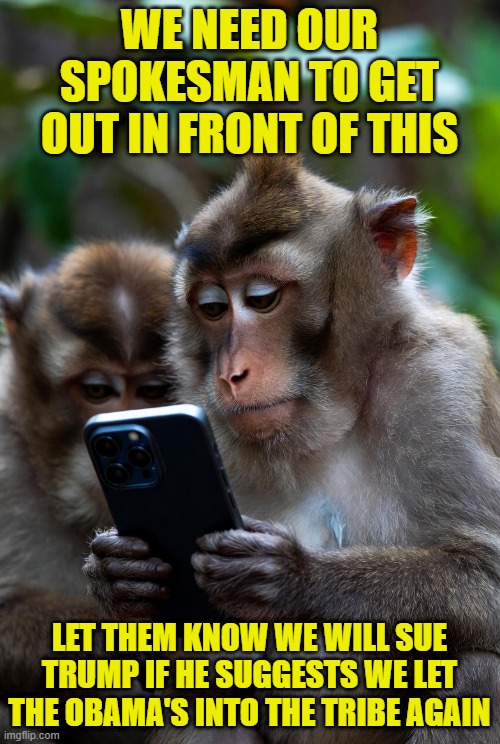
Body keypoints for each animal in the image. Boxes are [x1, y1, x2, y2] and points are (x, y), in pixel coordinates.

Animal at [85, 156, 500, 743]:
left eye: (262, 299)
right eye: (212, 307)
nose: (231, 373)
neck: (330, 420)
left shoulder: (441, 382)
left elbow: (488, 571)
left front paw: (290, 577)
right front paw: (119, 573)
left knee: (482, 671)